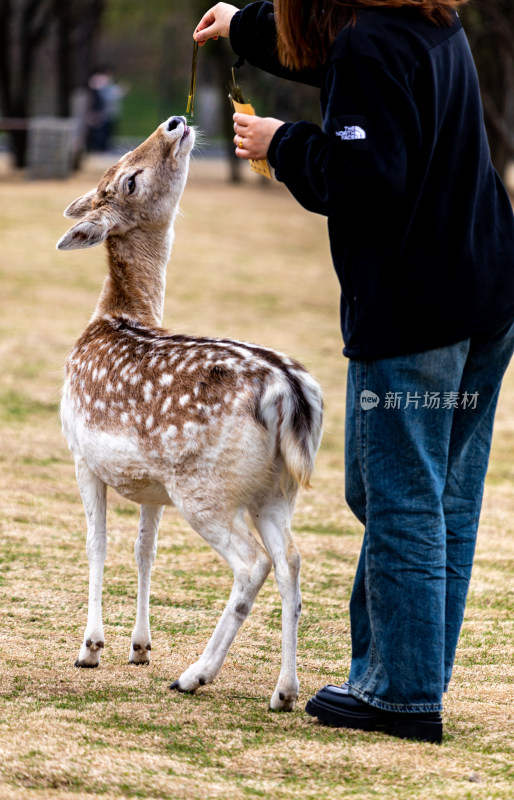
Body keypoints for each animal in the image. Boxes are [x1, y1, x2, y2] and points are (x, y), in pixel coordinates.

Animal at [56, 115, 320, 708]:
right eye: (128, 176)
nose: (174, 123)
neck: (111, 315)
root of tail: (287, 389)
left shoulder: (81, 455)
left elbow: (96, 544)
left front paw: (90, 648)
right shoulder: (152, 486)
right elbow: (143, 550)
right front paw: (138, 647)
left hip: (204, 488)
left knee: (253, 564)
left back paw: (196, 673)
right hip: (275, 491)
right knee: (291, 562)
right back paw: (285, 691)